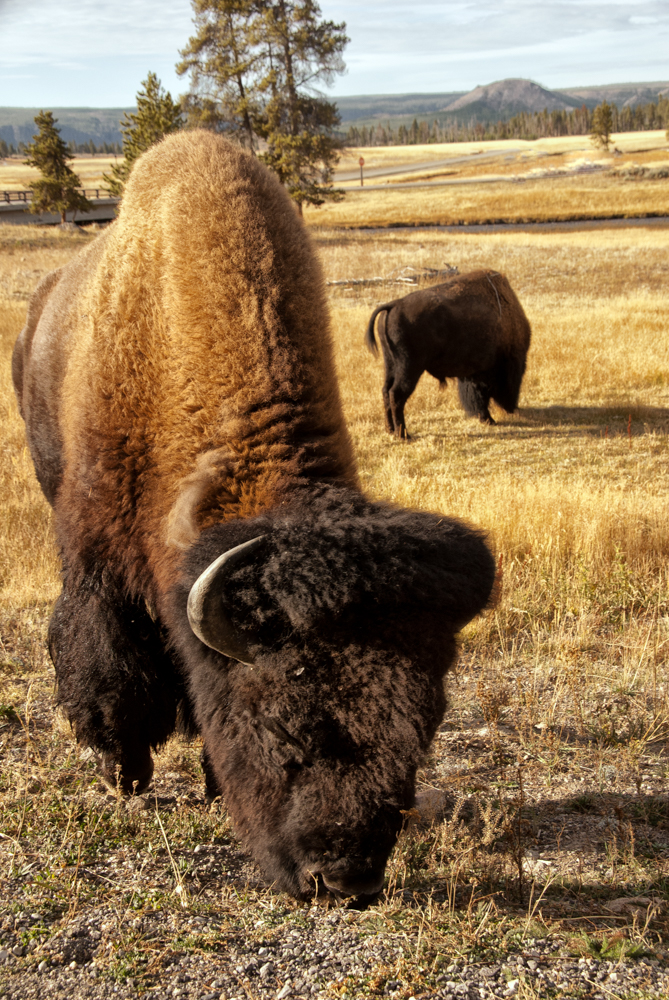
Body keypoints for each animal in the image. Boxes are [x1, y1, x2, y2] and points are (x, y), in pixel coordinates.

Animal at [13, 131, 496, 903]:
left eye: (421, 731)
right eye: (281, 732)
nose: (341, 881)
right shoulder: (96, 560)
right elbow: (106, 660)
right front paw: (124, 775)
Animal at [365, 270, 531, 438]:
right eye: (517, 375)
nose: (511, 407)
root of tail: (394, 305)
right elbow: (479, 395)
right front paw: (488, 419)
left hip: (390, 364)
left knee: (386, 391)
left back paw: (390, 430)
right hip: (409, 368)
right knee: (396, 394)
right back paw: (404, 435)